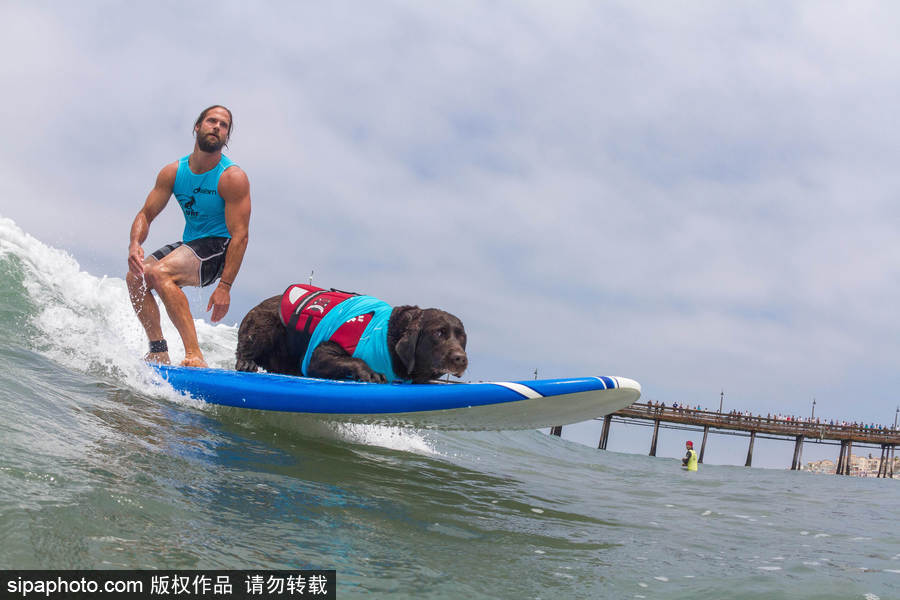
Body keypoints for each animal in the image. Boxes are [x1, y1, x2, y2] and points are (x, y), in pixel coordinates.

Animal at [236, 290, 468, 384]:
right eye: (439, 333)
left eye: (462, 338)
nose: (461, 359)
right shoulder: (317, 354)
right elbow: (353, 359)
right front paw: (371, 373)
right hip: (263, 326)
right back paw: (246, 363)